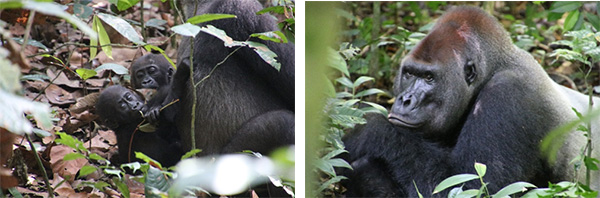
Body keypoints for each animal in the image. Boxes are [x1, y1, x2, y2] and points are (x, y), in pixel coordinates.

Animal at [342, 5, 600, 196]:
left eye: (429, 78)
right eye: (409, 74)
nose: (405, 100)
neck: (497, 66)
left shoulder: (508, 94)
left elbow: (475, 187)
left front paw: (367, 130)